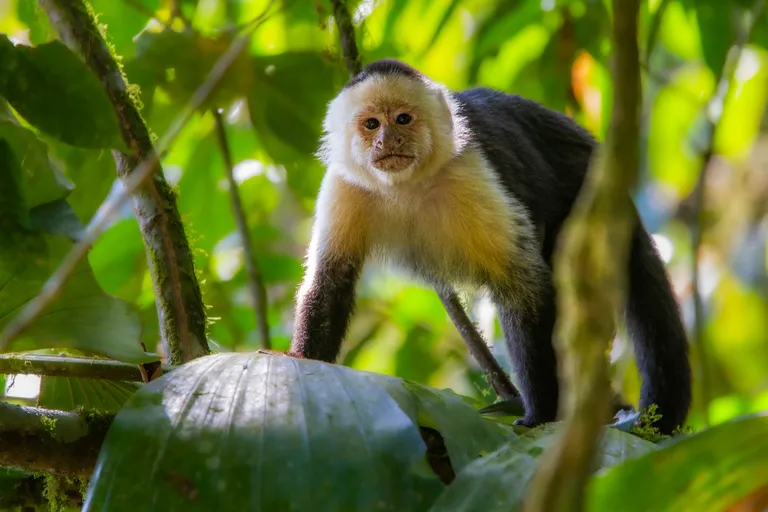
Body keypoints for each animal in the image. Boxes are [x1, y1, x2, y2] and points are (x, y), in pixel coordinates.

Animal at [288, 58, 692, 435]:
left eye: (403, 119)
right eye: (372, 124)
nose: (389, 141)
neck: (406, 185)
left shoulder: (470, 172)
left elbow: (523, 287)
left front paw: (542, 414)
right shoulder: (346, 186)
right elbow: (330, 282)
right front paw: (308, 369)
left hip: (587, 191)